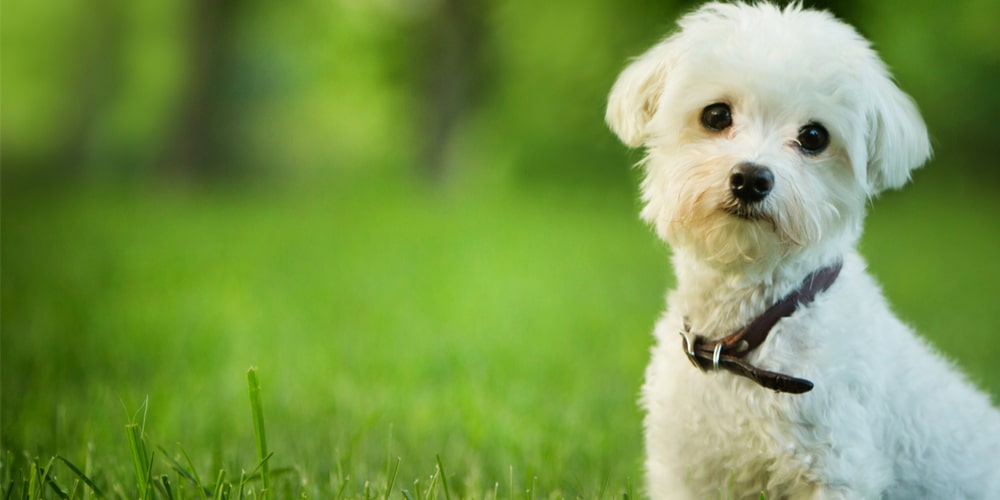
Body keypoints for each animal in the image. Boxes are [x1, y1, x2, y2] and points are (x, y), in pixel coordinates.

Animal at [604, 1, 1000, 498]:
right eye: (716, 115)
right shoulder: (686, 471)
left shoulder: (839, 468)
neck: (748, 336)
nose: (751, 178)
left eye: (814, 137)